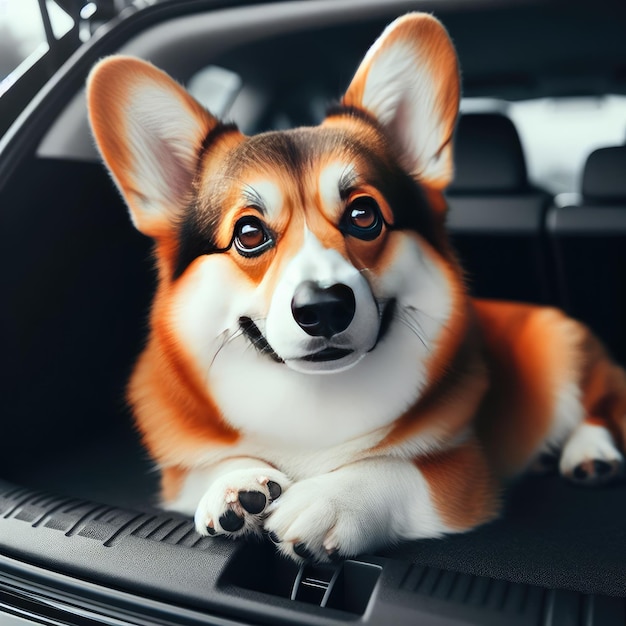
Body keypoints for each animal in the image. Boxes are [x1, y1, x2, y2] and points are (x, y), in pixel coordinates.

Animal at [86, 13, 624, 560]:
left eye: (364, 216)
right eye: (249, 233)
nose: (323, 307)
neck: (316, 399)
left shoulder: (462, 474)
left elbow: (395, 468)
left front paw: (329, 499)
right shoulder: (179, 471)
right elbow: (205, 469)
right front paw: (237, 485)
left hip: (564, 346)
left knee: (601, 405)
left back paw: (590, 453)